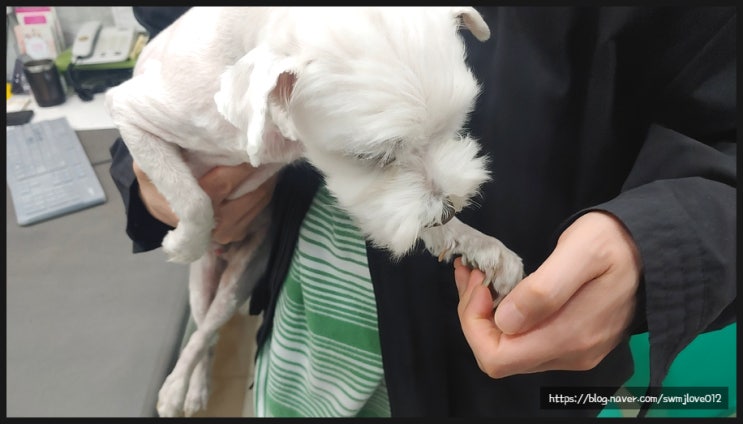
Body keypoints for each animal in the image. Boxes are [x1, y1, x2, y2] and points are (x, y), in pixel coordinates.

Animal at [104, 6, 524, 418]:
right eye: (372, 157)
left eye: (452, 128)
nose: (446, 211)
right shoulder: (131, 111)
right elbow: (192, 198)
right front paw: (183, 242)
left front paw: (480, 246)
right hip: (204, 279)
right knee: (200, 329)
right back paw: (178, 388)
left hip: (244, 275)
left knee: (207, 329)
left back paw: (193, 387)